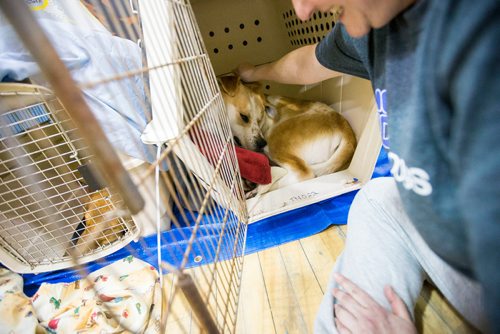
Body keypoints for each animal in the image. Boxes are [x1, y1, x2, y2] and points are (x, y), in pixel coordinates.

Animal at [218, 74, 356, 192]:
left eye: (259, 119)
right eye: (244, 117)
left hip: (275, 141)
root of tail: (345, 128)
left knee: (303, 173)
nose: (261, 143)